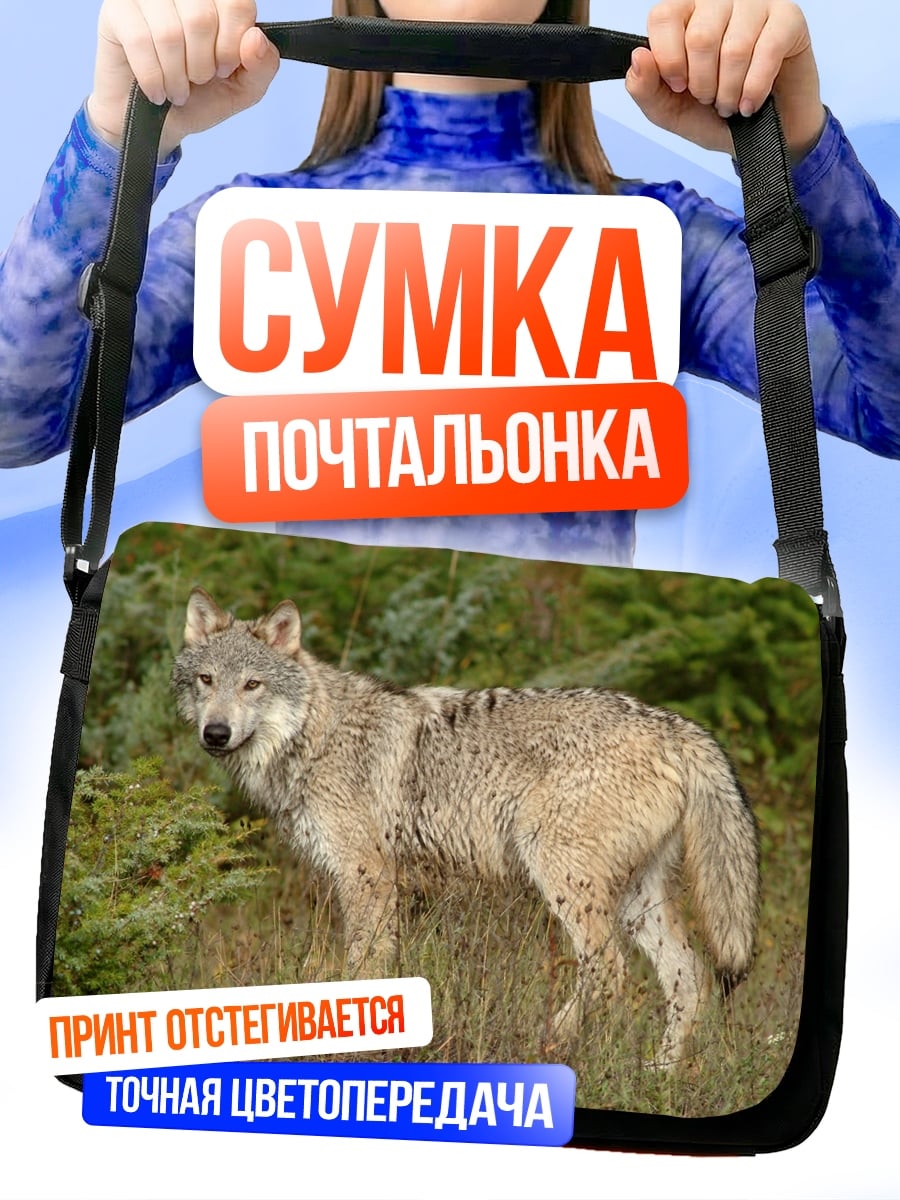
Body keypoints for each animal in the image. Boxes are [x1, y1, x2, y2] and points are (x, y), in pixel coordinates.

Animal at [171, 586, 760, 1064]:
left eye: (253, 684)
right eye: (207, 680)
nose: (216, 733)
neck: (313, 736)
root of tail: (678, 726)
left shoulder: (368, 877)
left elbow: (362, 968)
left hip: (566, 880)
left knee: (609, 970)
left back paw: (557, 1040)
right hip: (637, 900)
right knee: (690, 979)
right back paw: (660, 1077)